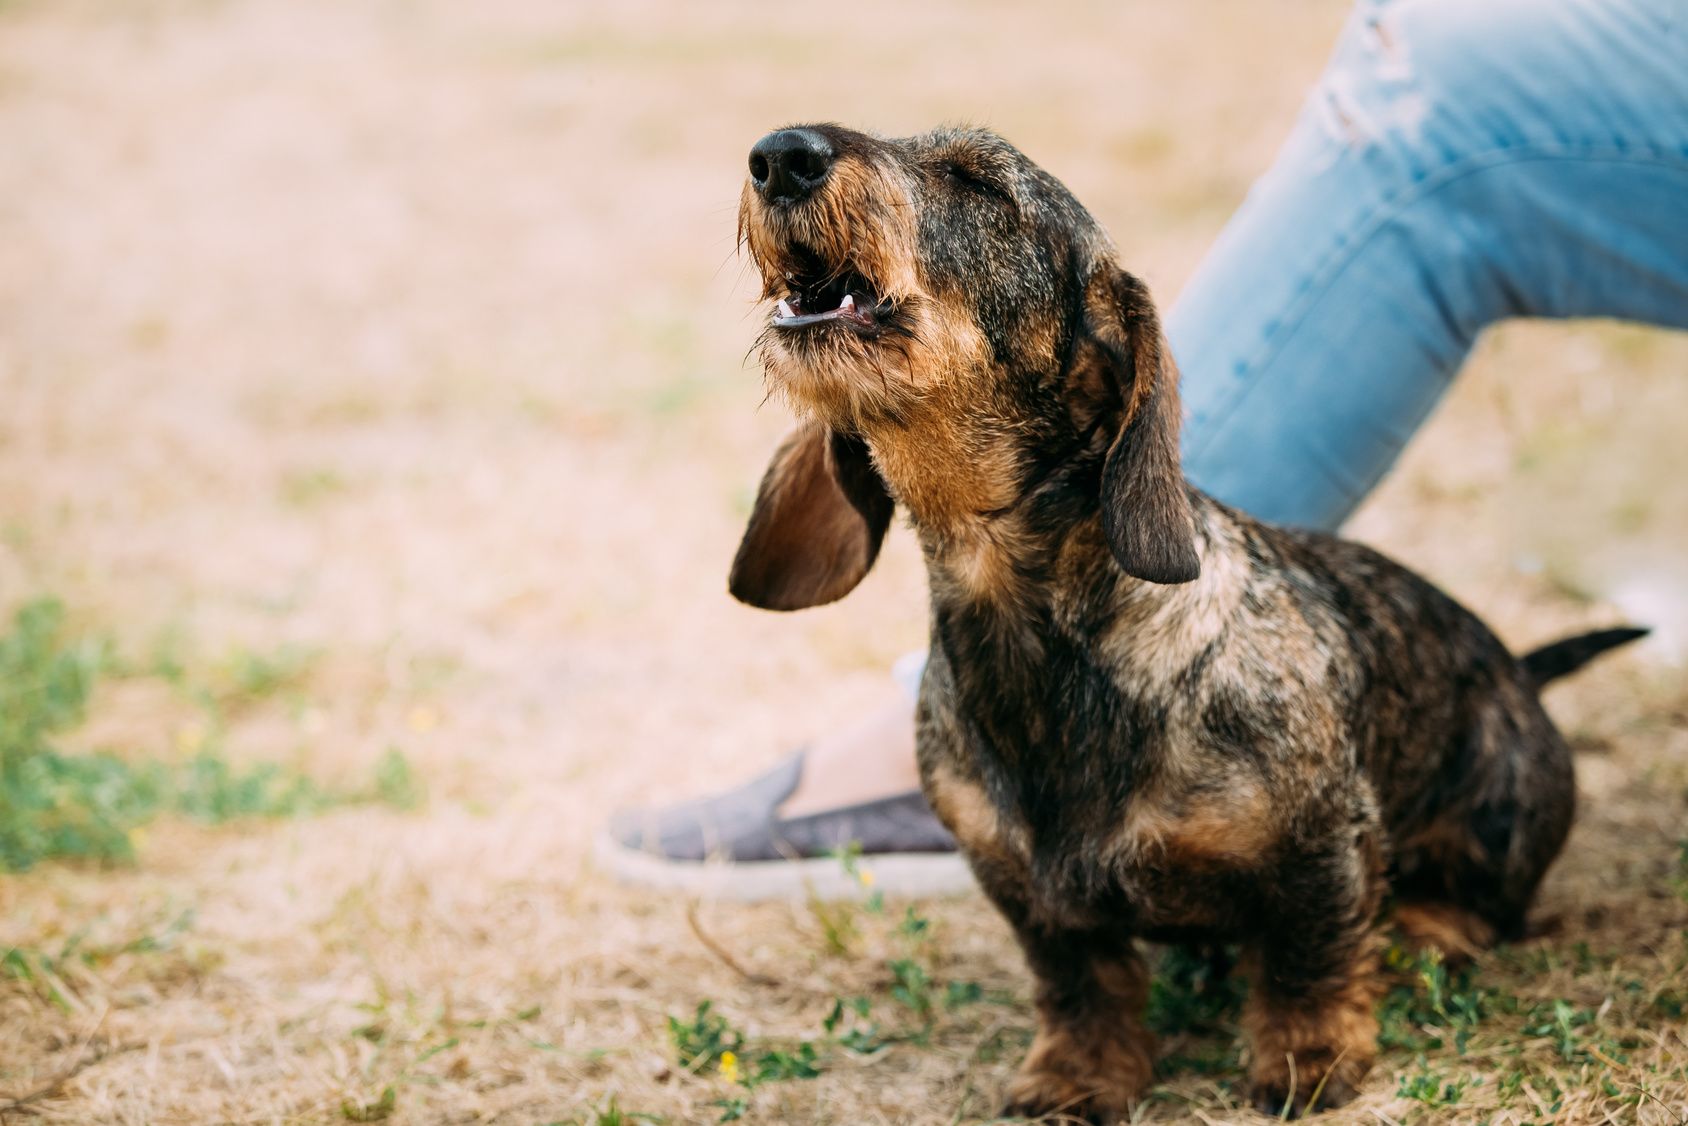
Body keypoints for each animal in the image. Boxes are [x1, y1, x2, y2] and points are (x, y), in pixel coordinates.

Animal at [722, 123, 1633, 1120]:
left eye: (980, 182)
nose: (780, 153)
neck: (1041, 641)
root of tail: (1520, 672)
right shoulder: (1021, 886)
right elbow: (1080, 982)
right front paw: (1081, 1073)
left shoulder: (1323, 841)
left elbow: (1309, 956)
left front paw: (1308, 1057)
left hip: (1500, 805)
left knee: (1476, 901)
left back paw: (1425, 932)